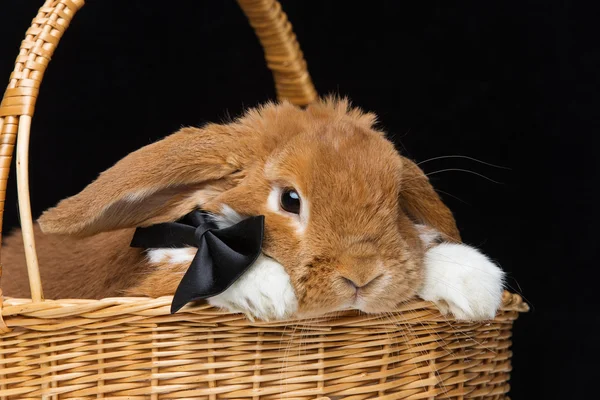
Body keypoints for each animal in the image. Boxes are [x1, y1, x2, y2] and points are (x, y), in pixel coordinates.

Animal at [0, 97, 506, 322]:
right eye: (289, 200)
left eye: (397, 199)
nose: (362, 276)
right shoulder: (143, 286)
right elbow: (193, 271)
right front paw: (268, 294)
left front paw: (476, 284)